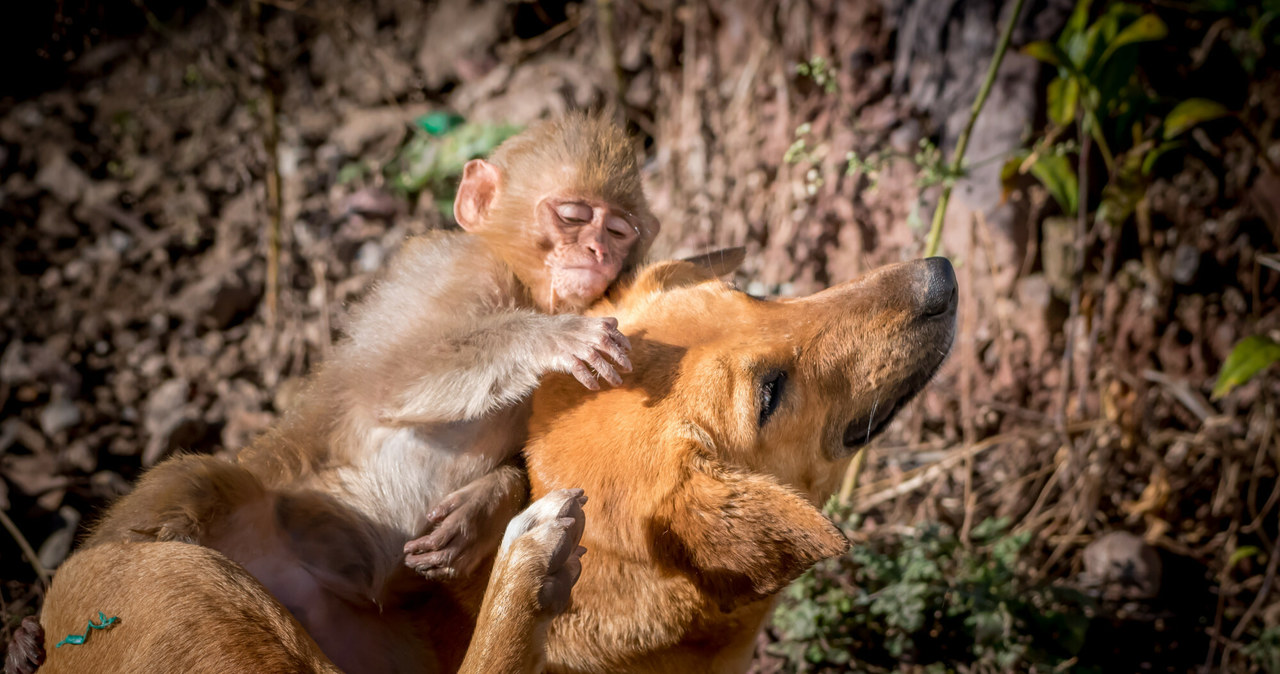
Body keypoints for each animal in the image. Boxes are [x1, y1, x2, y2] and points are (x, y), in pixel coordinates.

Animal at [12, 111, 660, 674]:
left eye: (617, 230)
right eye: (573, 215)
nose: (598, 251)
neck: (525, 287)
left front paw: (482, 507)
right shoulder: (456, 267)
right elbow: (390, 378)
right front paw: (551, 339)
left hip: (354, 629)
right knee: (199, 481)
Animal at [24, 255, 957, 670]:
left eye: (755, 292)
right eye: (770, 392)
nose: (940, 275)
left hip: (191, 480)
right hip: (194, 570)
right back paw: (525, 566)